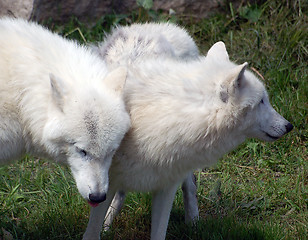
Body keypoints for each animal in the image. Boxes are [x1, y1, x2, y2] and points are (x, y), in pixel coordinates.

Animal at [83, 23, 292, 240]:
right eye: (261, 101)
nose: (289, 126)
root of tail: (162, 26)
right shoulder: (105, 183)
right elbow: (92, 231)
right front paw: (103, 226)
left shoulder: (166, 187)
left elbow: (159, 232)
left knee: (190, 185)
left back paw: (193, 223)